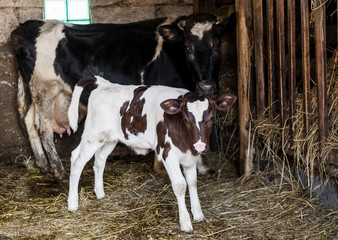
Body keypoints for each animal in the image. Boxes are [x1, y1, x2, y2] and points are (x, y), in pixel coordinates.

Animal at [11, 11, 236, 180]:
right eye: (187, 47)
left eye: (217, 44)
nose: (206, 85)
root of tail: (32, 25)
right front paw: (163, 166)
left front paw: (202, 166)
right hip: (46, 91)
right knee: (43, 128)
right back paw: (58, 170)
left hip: (40, 93)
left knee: (29, 120)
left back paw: (42, 164)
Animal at [67, 75, 236, 232]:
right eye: (185, 119)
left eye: (212, 117)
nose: (200, 146)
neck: (186, 142)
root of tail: (104, 84)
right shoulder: (168, 154)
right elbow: (180, 185)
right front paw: (185, 222)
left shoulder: (190, 157)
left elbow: (193, 182)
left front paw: (198, 214)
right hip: (93, 135)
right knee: (77, 160)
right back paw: (73, 204)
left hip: (110, 138)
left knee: (99, 160)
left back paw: (100, 193)